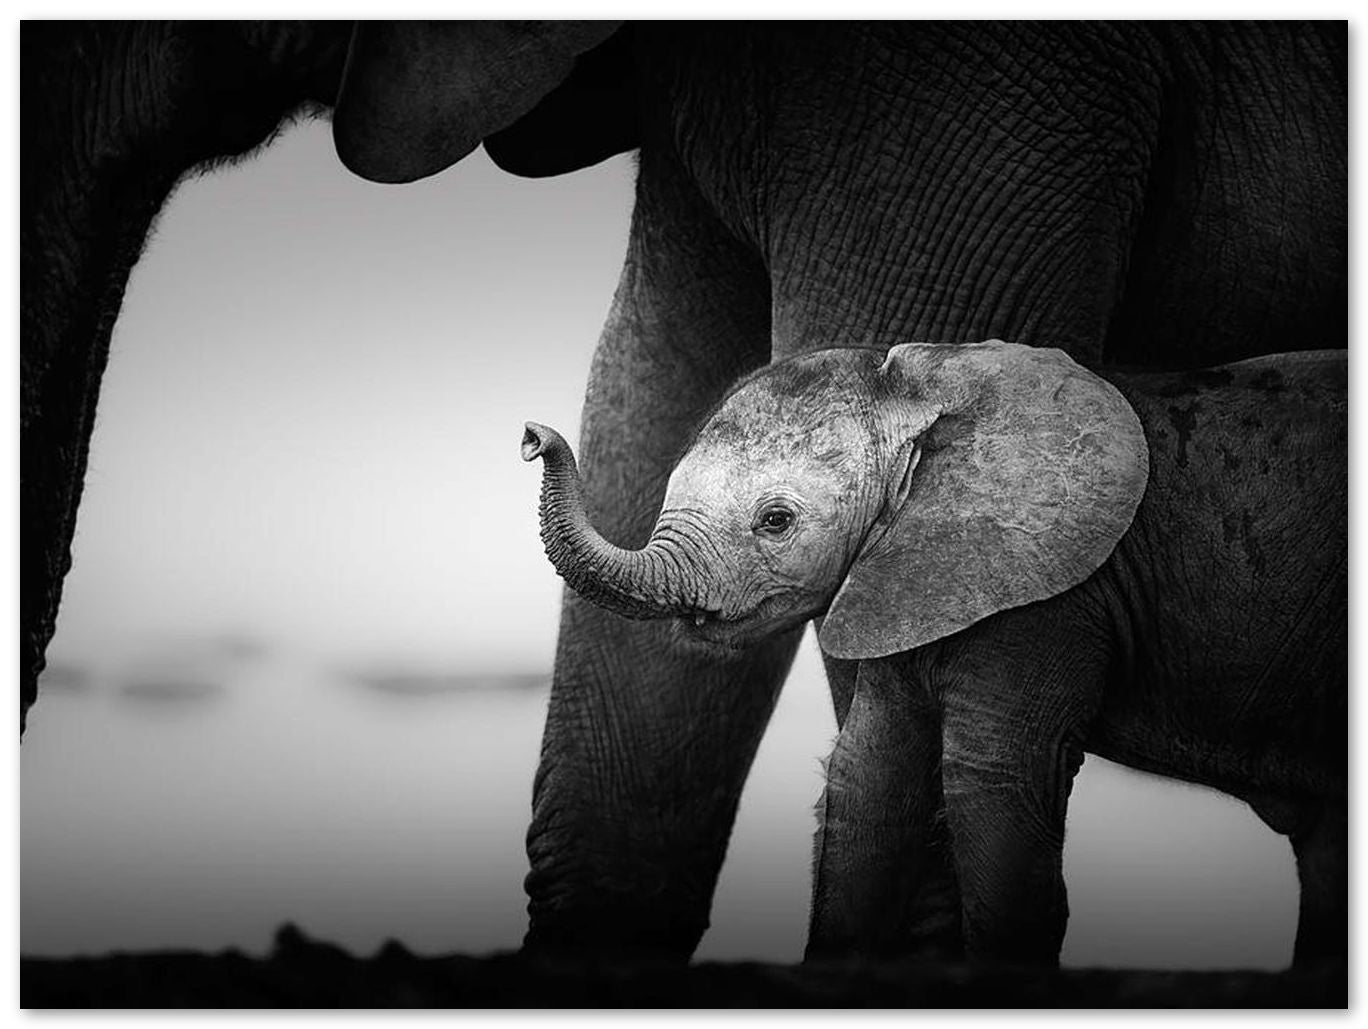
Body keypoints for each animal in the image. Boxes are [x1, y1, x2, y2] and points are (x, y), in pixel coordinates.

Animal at [521, 341, 1347, 966]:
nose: (532, 435)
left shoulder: (1047, 597)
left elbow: (992, 783)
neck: (929, 391)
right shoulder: (906, 571)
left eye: (776, 521)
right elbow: (867, 777)